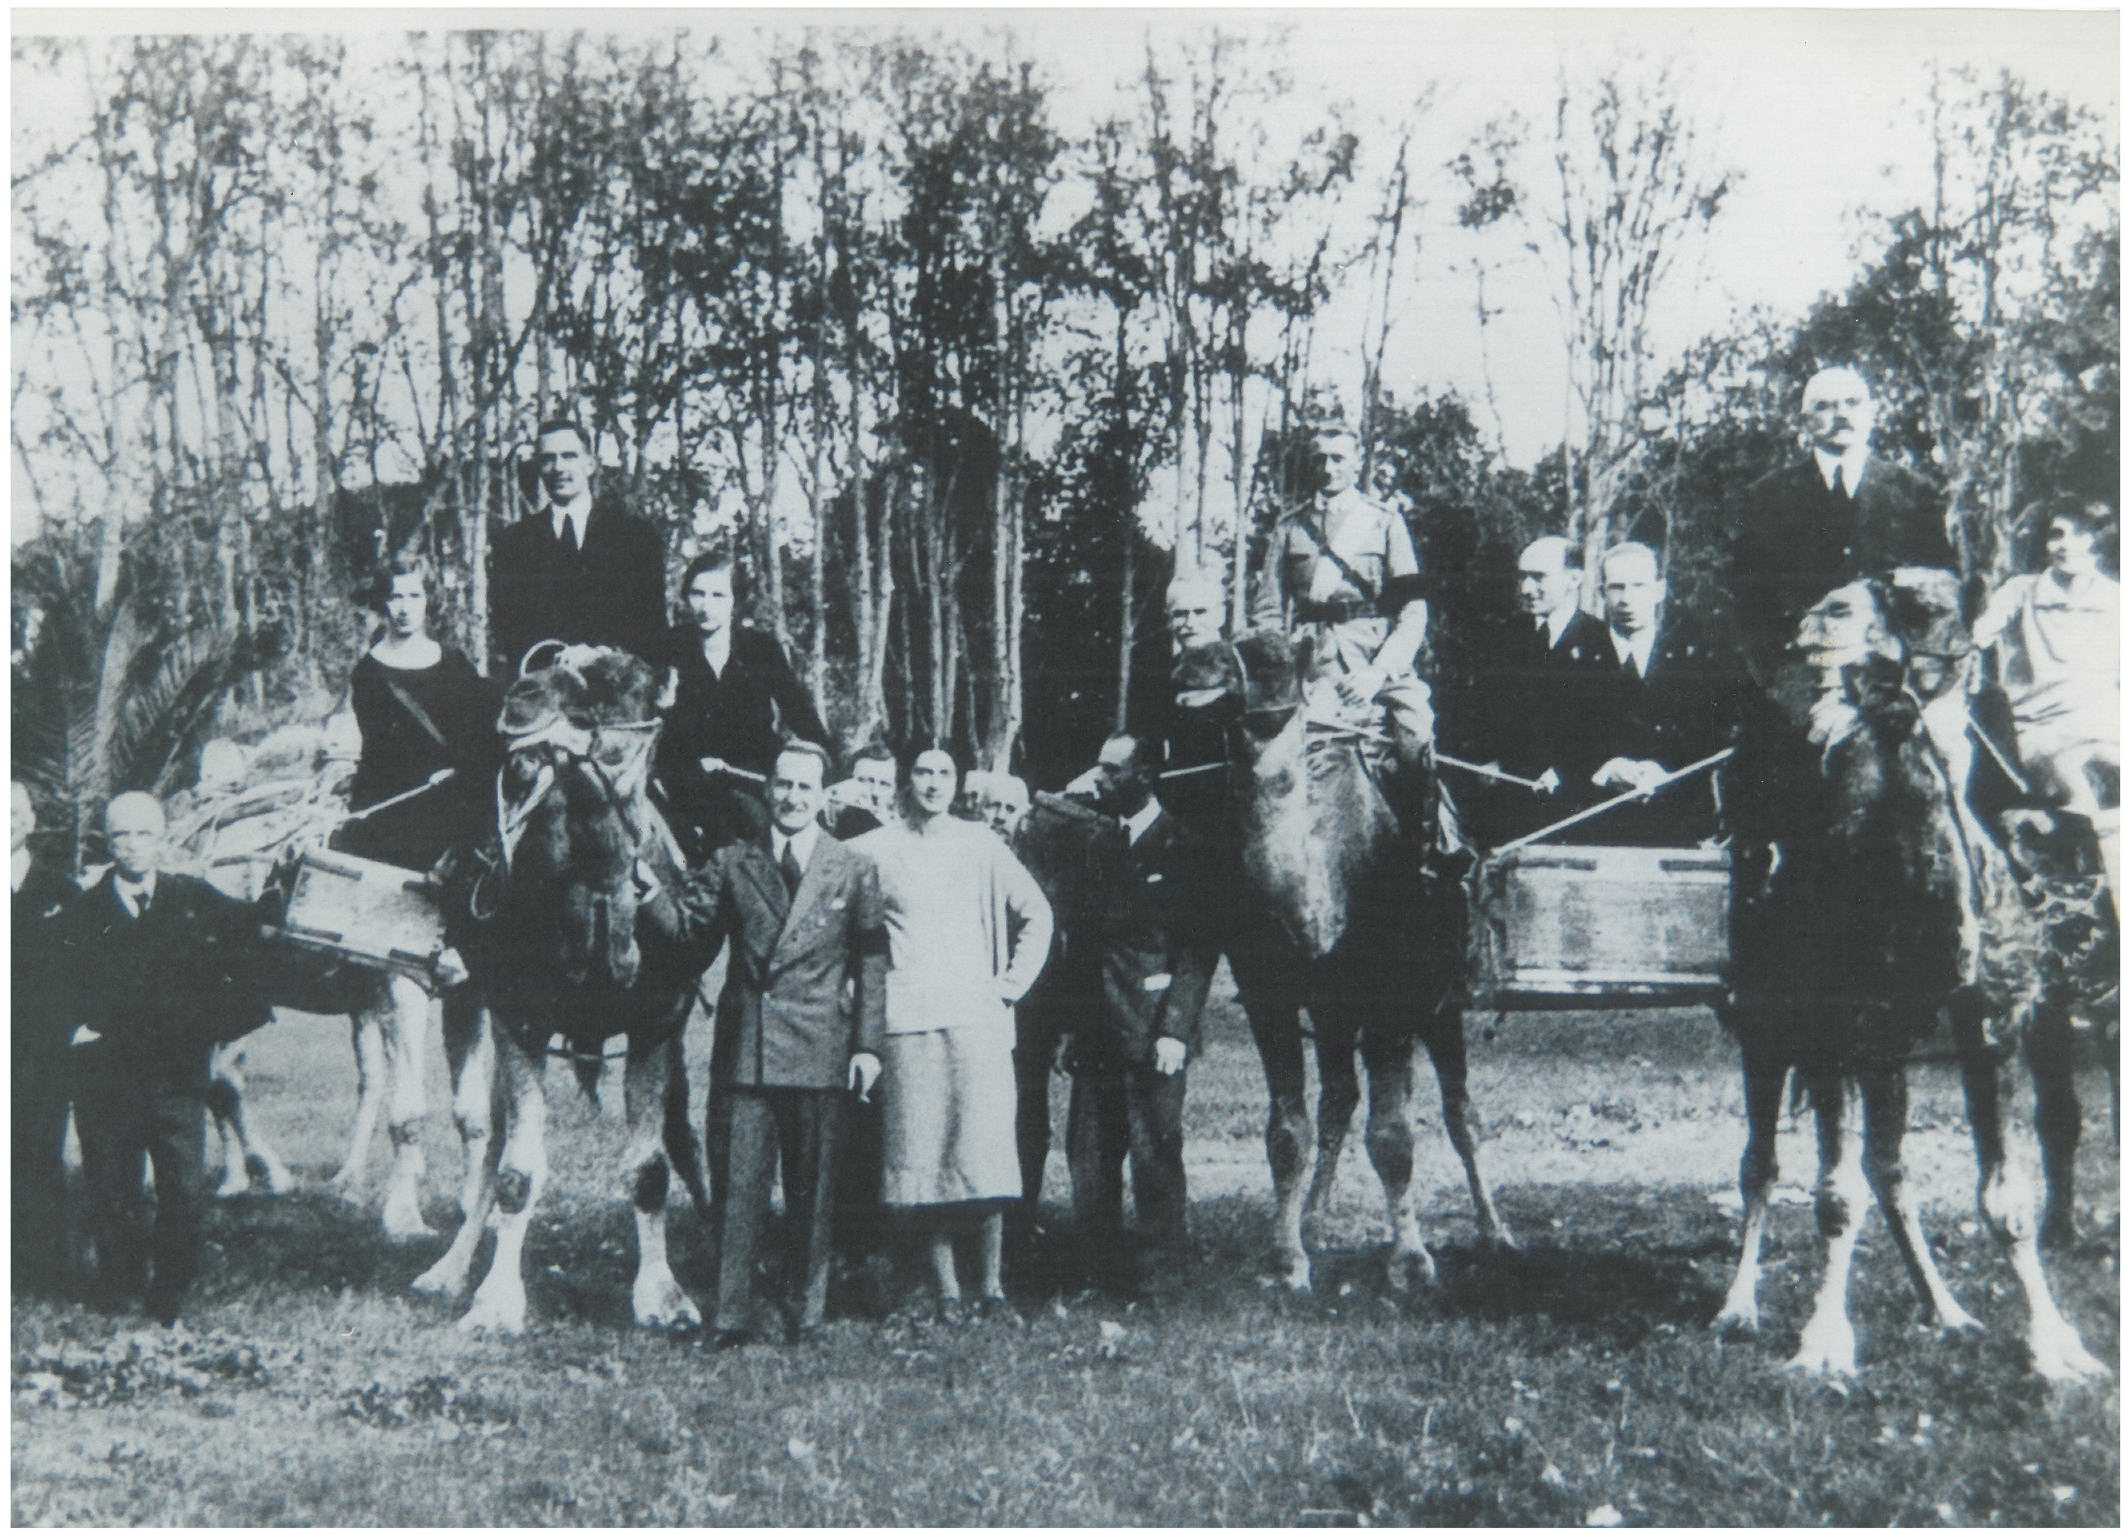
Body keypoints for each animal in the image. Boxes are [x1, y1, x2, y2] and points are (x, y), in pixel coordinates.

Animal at [410, 646, 709, 1326]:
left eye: (610, 686)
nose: (518, 697)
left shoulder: (660, 1018)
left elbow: (650, 1167)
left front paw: (664, 1297)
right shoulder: (520, 1017)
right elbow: (517, 1168)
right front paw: (495, 1302)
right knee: (492, 1139)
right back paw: (447, 1271)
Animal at [1173, 629, 1504, 1284]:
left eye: (1269, 653)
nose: (1189, 660)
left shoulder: (1392, 996)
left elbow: (1395, 1136)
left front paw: (1411, 1260)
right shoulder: (1271, 995)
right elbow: (1287, 1130)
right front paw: (1285, 1258)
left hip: (1440, 998)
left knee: (1459, 1110)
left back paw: (1495, 1232)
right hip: (1334, 1010)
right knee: (1339, 1101)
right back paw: (1316, 1223)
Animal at [1708, 569, 2108, 1377]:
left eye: (1925, 603)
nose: (1817, 621)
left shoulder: (1987, 1021)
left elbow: (2002, 1198)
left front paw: (2055, 1346)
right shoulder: (1833, 1022)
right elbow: (1833, 1194)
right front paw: (1823, 1344)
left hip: (1888, 1043)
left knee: (1889, 1165)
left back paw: (1945, 1309)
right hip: (1767, 1019)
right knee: (1760, 1160)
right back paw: (1737, 1309)